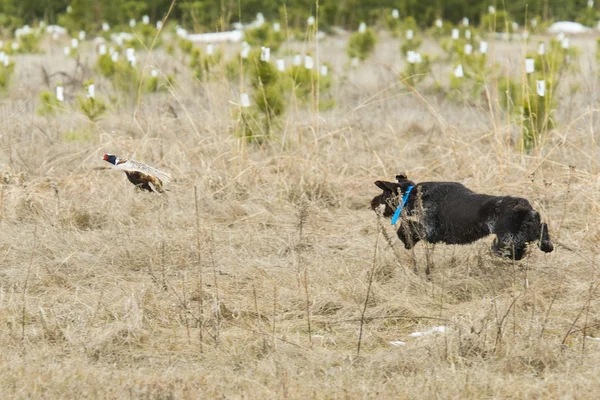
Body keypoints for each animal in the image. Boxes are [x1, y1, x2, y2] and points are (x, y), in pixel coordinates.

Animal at [370, 173, 552, 260]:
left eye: (383, 193)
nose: (371, 203)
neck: (413, 195)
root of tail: (525, 207)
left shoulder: (431, 231)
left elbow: (406, 227)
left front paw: (406, 239)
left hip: (507, 240)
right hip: (523, 232)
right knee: (541, 230)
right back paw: (546, 244)